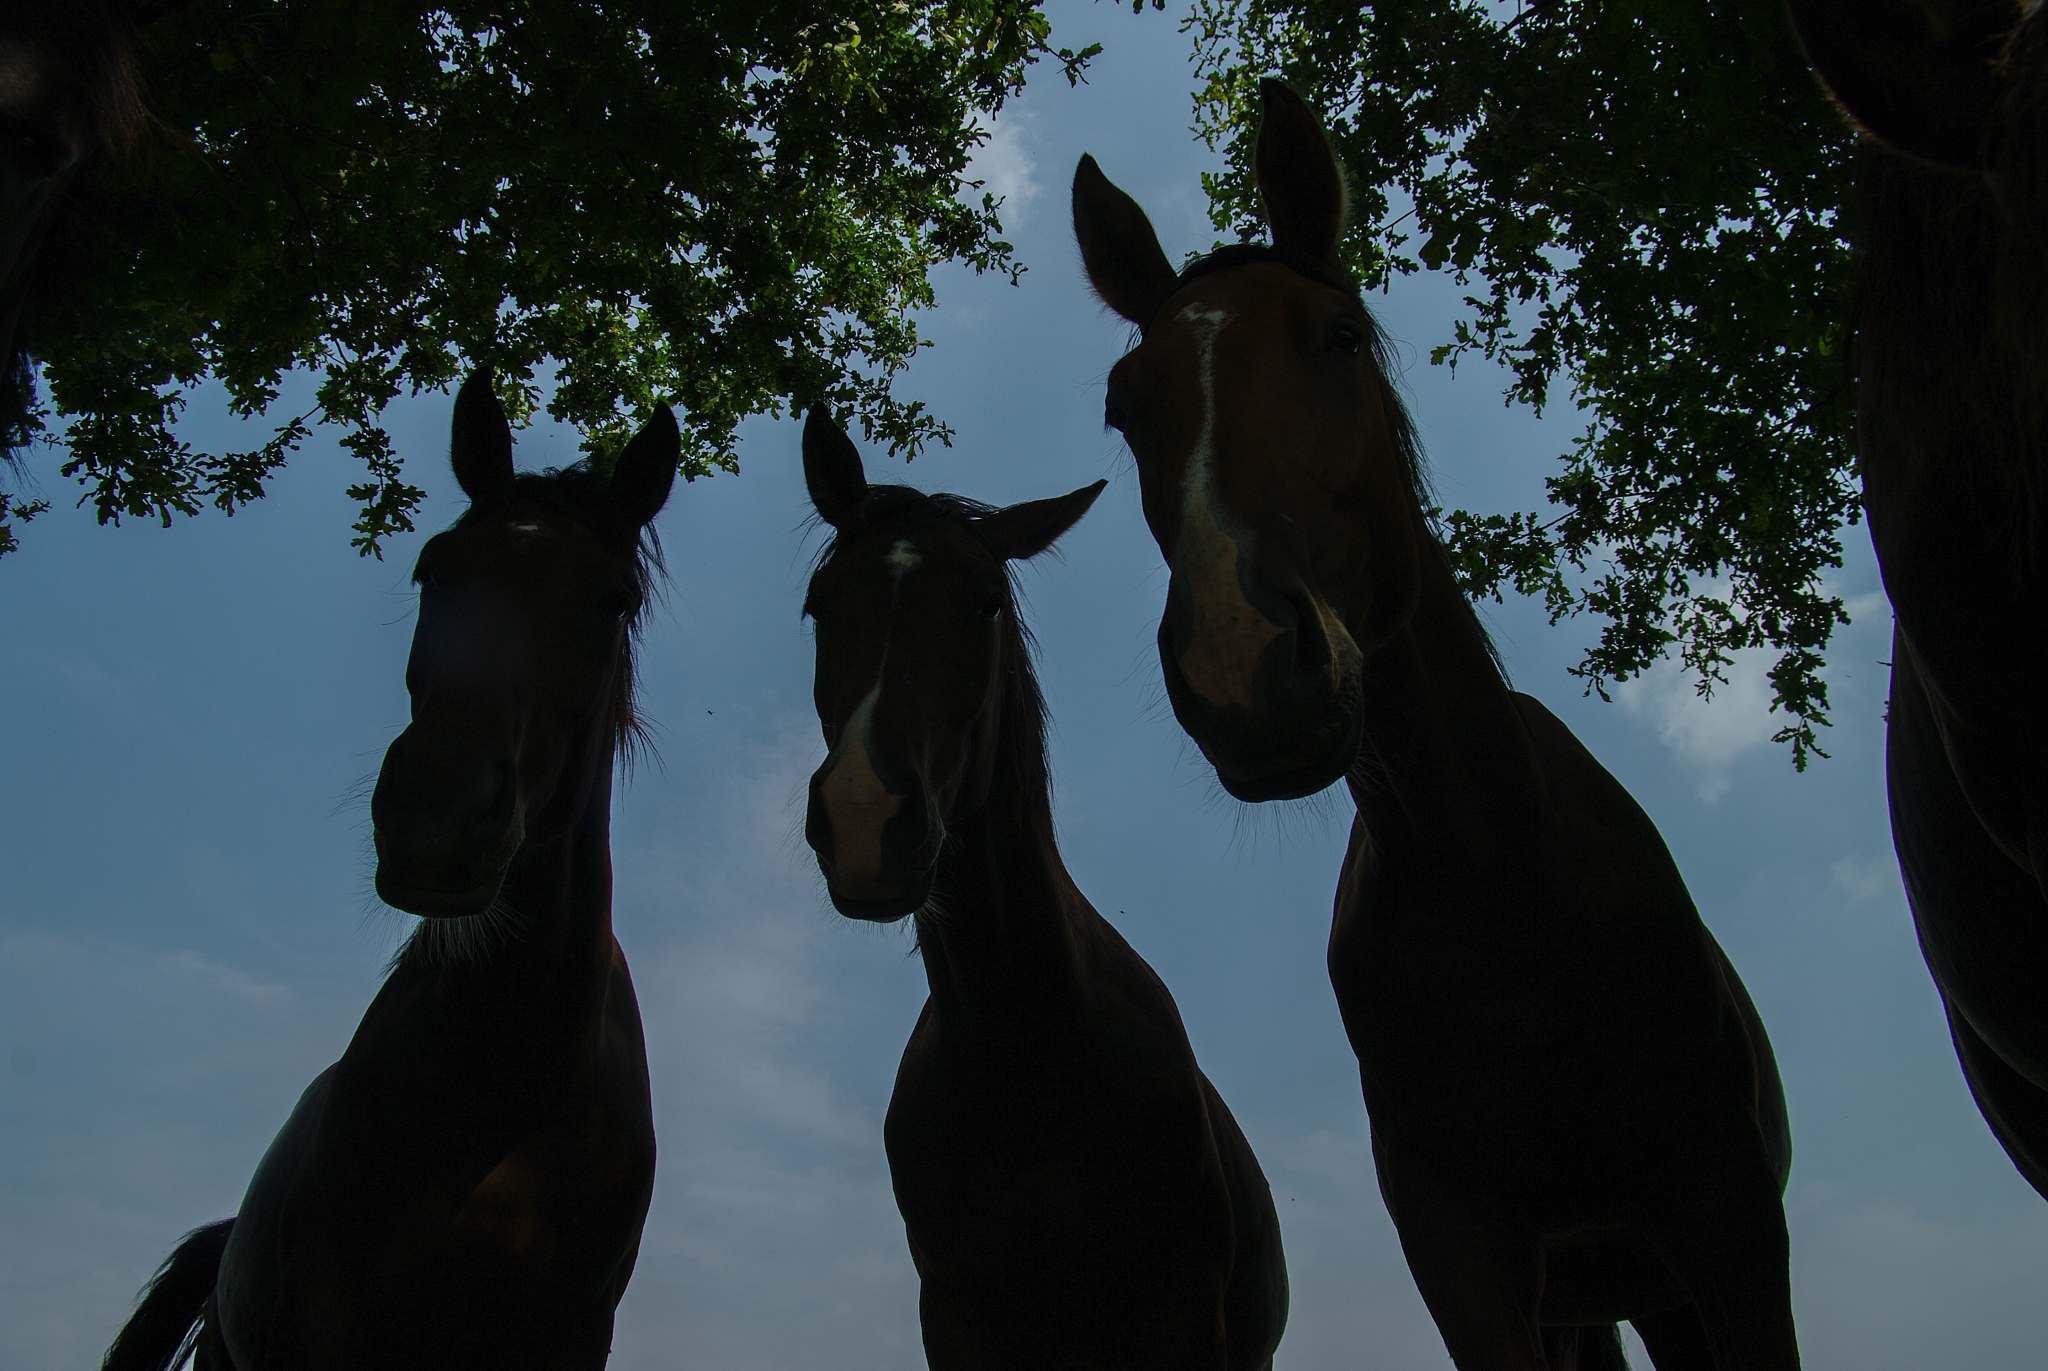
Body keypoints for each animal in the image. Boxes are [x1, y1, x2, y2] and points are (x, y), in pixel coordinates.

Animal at [798, 407, 1289, 1371]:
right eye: (819, 602)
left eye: (986, 600)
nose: (865, 816)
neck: (1029, 1048)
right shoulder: (958, 1319)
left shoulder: (1182, 1312)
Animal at [1071, 81, 1799, 1371]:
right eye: (1122, 404)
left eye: (1340, 337)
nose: (1242, 668)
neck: (1505, 883)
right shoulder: (1467, 1266)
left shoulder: (1729, 1226)